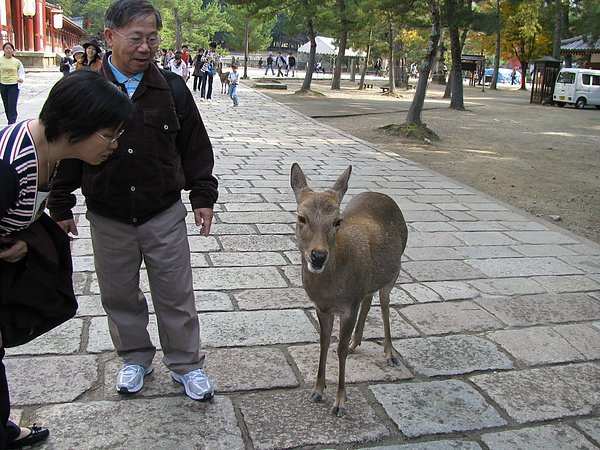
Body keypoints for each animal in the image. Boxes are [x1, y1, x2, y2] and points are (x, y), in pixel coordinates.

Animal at [290, 163, 408, 418]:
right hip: (369, 282)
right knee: (369, 298)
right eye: (301, 217)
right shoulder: (322, 308)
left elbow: (340, 349)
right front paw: (317, 390)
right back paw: (357, 343)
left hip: (394, 273)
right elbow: (324, 343)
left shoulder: (348, 307)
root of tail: (383, 195)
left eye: (337, 221)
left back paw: (390, 353)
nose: (318, 255)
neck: (331, 291)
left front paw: (340, 402)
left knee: (384, 303)